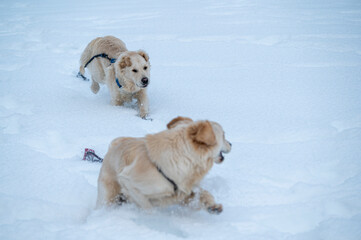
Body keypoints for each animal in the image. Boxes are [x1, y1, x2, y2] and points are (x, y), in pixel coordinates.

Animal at [95, 116, 231, 214]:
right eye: (224, 135)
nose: (231, 144)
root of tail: (114, 145)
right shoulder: (129, 182)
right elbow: (148, 207)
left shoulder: (183, 191)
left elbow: (202, 193)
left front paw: (213, 205)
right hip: (108, 196)